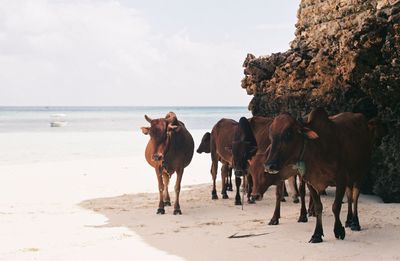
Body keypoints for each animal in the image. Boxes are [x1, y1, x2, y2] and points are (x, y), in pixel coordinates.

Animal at [264, 107, 374, 242]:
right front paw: (317, 234)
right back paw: (348, 220)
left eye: (288, 134)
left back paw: (355, 223)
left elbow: (336, 206)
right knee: (349, 196)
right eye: (271, 135)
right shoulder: (310, 182)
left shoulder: (341, 180)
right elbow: (318, 207)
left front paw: (338, 230)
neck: (317, 147)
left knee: (355, 197)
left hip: (361, 173)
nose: (269, 166)